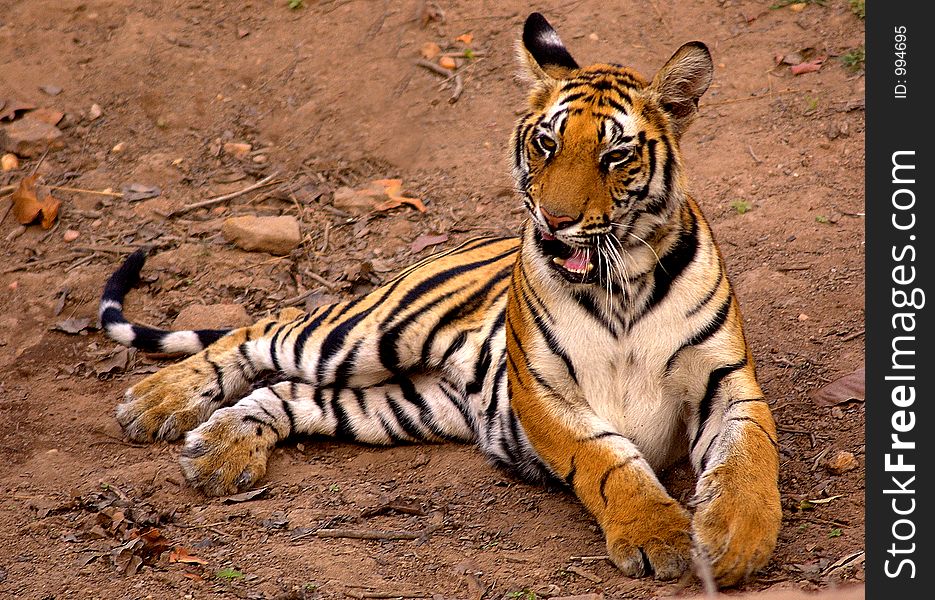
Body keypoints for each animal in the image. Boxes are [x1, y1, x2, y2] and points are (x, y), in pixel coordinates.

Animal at [97, 12, 784, 584]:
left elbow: (751, 457)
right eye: (546, 143)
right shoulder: (543, 391)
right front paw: (658, 536)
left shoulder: (728, 381)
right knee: (262, 329)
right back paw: (156, 404)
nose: (555, 221)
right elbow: (607, 459)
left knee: (290, 393)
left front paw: (734, 540)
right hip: (364, 335)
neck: (622, 280)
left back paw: (219, 450)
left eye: (615, 153)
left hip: (399, 404)